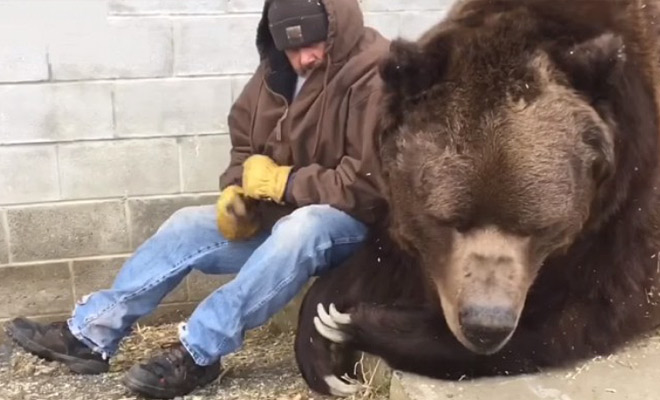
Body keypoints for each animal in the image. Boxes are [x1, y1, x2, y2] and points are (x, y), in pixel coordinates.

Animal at [296, 0, 660, 396]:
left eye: (538, 227)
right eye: (447, 220)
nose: (485, 325)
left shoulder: (626, 210)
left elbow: (581, 310)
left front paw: (358, 324)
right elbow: (388, 253)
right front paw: (323, 327)